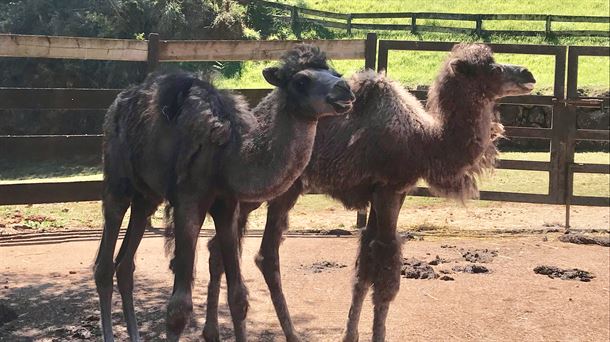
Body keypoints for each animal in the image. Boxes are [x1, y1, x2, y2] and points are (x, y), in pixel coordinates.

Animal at [90, 44, 352, 342]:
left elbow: (238, 297)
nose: (344, 89)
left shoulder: (227, 205)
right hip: (117, 183)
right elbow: (178, 308)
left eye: (335, 72)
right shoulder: (188, 204)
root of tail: (116, 105)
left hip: (147, 197)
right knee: (104, 265)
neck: (227, 157)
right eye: (301, 81)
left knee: (125, 265)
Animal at [201, 44, 532, 340]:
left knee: (220, 246)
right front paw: (376, 335)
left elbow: (365, 268)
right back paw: (289, 333)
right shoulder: (389, 190)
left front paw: (350, 334)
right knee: (265, 254)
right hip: (281, 188)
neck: (424, 142)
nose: (527, 73)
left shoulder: (386, 194)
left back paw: (211, 331)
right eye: (491, 67)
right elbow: (385, 271)